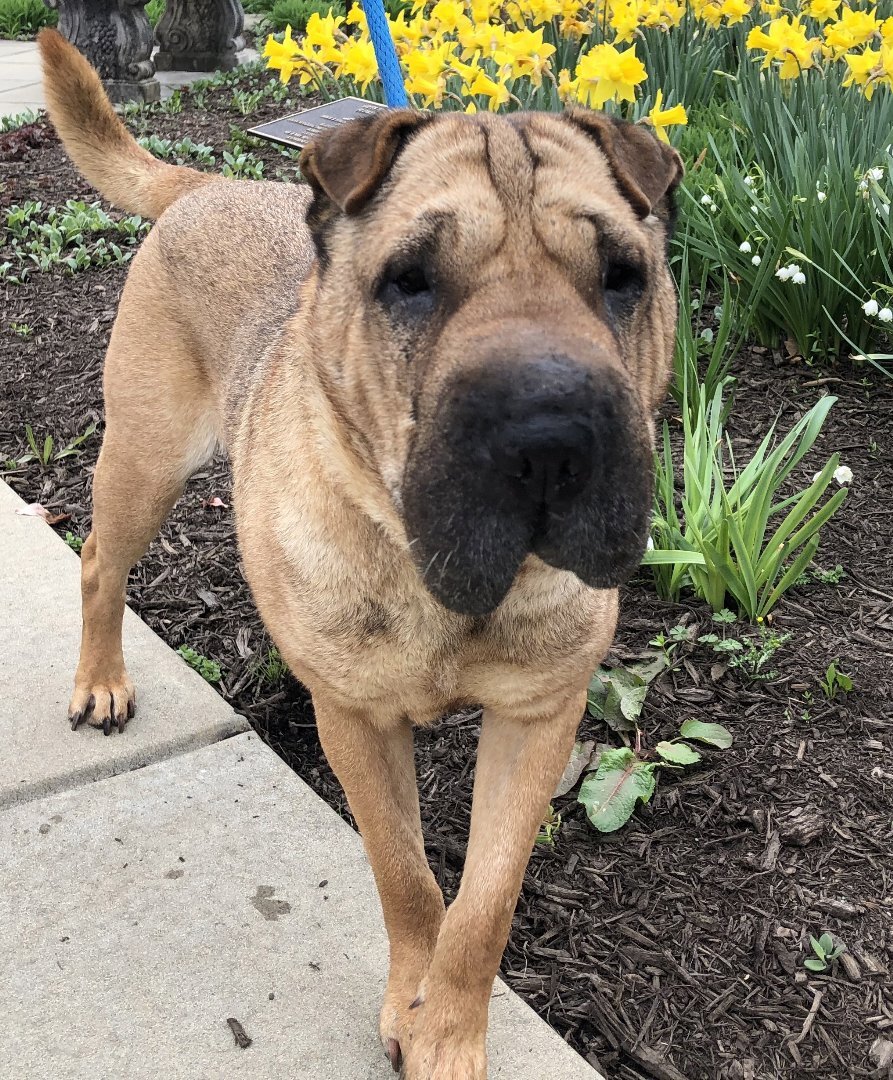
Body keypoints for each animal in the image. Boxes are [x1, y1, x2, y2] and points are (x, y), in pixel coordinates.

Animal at [38, 31, 682, 1080]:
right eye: (409, 280)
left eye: (622, 275)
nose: (551, 437)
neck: (436, 578)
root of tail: (208, 184)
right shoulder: (356, 721)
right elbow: (407, 876)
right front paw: (411, 1009)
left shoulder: (537, 717)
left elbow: (483, 904)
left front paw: (448, 1034)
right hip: (142, 463)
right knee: (99, 561)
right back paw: (101, 679)